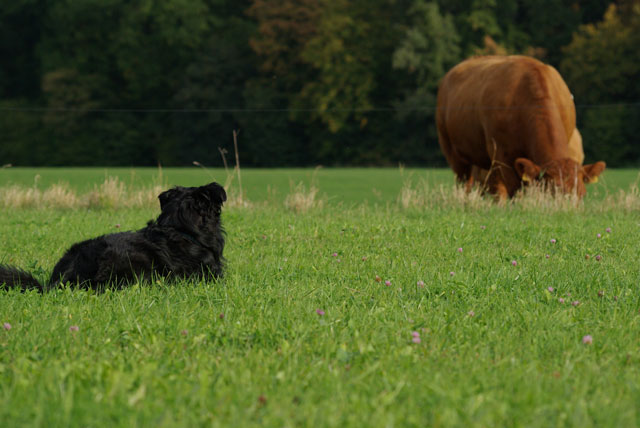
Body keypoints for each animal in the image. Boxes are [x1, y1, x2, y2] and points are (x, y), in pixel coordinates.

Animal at [436, 54, 604, 199]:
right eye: (552, 193)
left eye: (582, 195)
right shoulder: (502, 156)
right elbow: (515, 191)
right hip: (454, 154)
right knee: (466, 184)